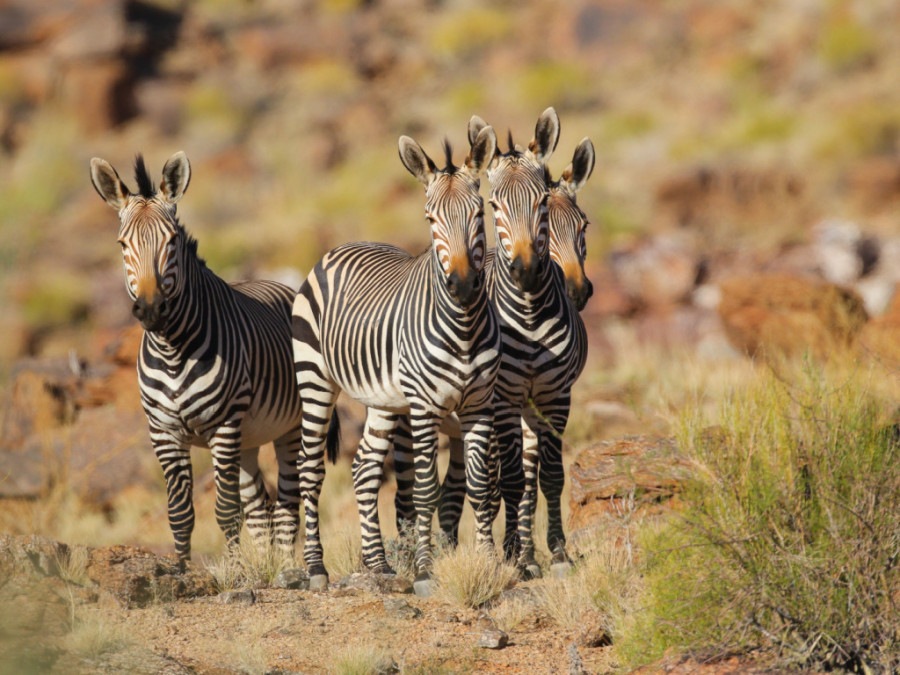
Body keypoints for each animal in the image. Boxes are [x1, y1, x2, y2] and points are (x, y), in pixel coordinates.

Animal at [90, 153, 334, 564]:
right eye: (122, 244)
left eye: (172, 241)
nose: (151, 309)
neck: (173, 351)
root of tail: (285, 287)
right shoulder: (164, 432)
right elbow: (180, 513)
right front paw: (182, 569)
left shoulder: (224, 425)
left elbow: (225, 510)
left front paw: (235, 570)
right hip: (251, 437)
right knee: (261, 506)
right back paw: (268, 565)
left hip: (290, 426)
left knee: (288, 499)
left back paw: (288, 567)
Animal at [292, 121, 502, 592]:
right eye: (430, 219)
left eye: (479, 214)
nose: (463, 285)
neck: (464, 326)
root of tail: (340, 248)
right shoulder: (424, 406)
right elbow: (425, 490)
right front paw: (424, 570)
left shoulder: (480, 405)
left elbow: (479, 486)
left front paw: (490, 562)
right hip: (315, 382)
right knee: (310, 470)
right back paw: (316, 568)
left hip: (383, 400)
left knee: (365, 467)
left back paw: (378, 564)